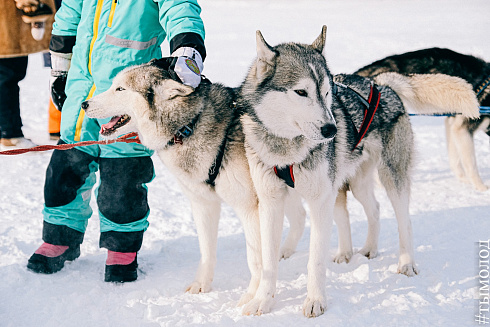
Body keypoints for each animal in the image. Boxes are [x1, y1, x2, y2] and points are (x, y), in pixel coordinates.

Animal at [82, 63, 306, 304]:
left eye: (120, 89)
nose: (84, 104)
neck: (188, 126)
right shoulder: (203, 204)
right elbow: (207, 250)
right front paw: (202, 284)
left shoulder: (250, 208)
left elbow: (256, 259)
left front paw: (253, 295)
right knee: (300, 216)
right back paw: (285, 251)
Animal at [356, 48, 490, 192]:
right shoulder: (463, 128)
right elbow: (471, 163)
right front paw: (481, 187)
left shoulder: (453, 124)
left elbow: (454, 157)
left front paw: (462, 179)